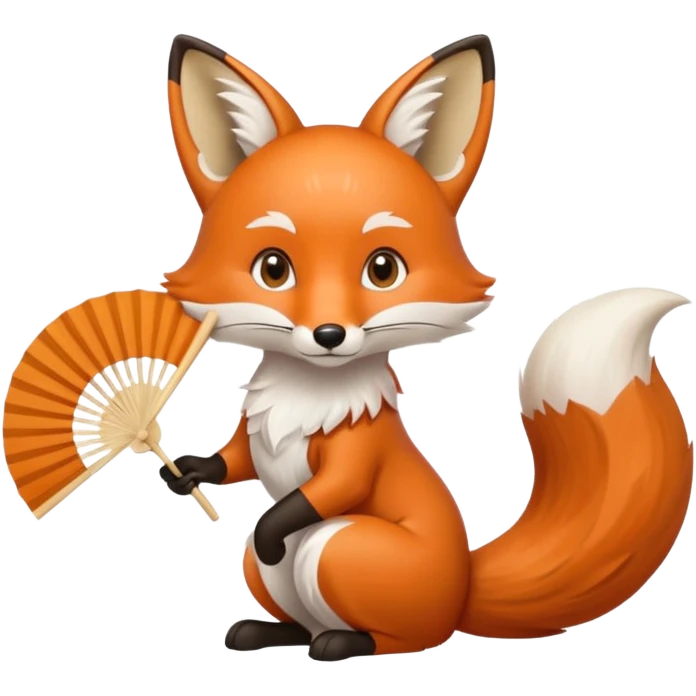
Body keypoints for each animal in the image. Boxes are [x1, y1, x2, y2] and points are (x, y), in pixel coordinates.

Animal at [161, 33, 694, 661]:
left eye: (383, 269)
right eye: (273, 269)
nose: (328, 335)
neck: (307, 393)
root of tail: (461, 589)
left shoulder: (355, 455)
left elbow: (326, 492)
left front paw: (268, 522)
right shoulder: (256, 431)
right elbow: (235, 457)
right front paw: (189, 471)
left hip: (335, 545)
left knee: (401, 632)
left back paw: (343, 641)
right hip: (268, 570)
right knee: (295, 612)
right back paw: (266, 632)